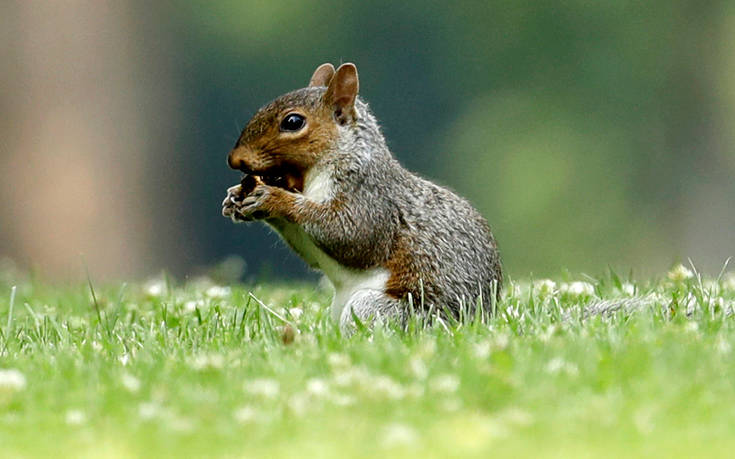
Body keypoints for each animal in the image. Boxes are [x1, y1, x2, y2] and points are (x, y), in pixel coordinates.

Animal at [221, 63, 504, 330]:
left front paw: (273, 198)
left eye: (293, 122)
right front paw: (235, 199)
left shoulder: (369, 199)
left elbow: (350, 235)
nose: (235, 159)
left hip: (382, 310)